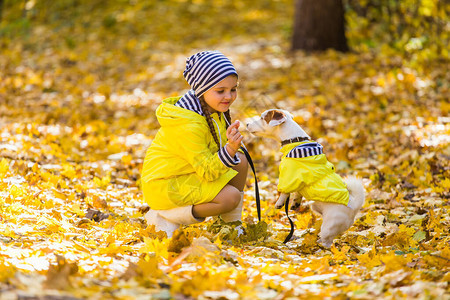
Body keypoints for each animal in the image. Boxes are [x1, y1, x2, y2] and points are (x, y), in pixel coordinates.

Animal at [246, 109, 366, 247]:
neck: (294, 141)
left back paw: (318, 246)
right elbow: (298, 192)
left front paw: (279, 203)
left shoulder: (289, 176)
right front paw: (295, 202)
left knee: (327, 242)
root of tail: (354, 207)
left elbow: (284, 192)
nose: (247, 124)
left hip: (329, 226)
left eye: (262, 118)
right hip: (316, 207)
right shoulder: (300, 181)